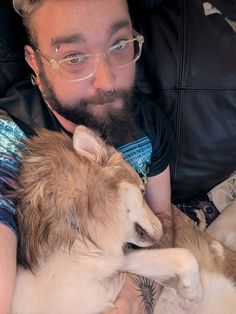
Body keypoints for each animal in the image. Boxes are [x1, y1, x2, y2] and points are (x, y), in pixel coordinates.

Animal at [12, 125, 236, 314]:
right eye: (142, 190)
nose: (165, 228)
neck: (80, 230)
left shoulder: (115, 262)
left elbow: (183, 255)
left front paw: (193, 293)